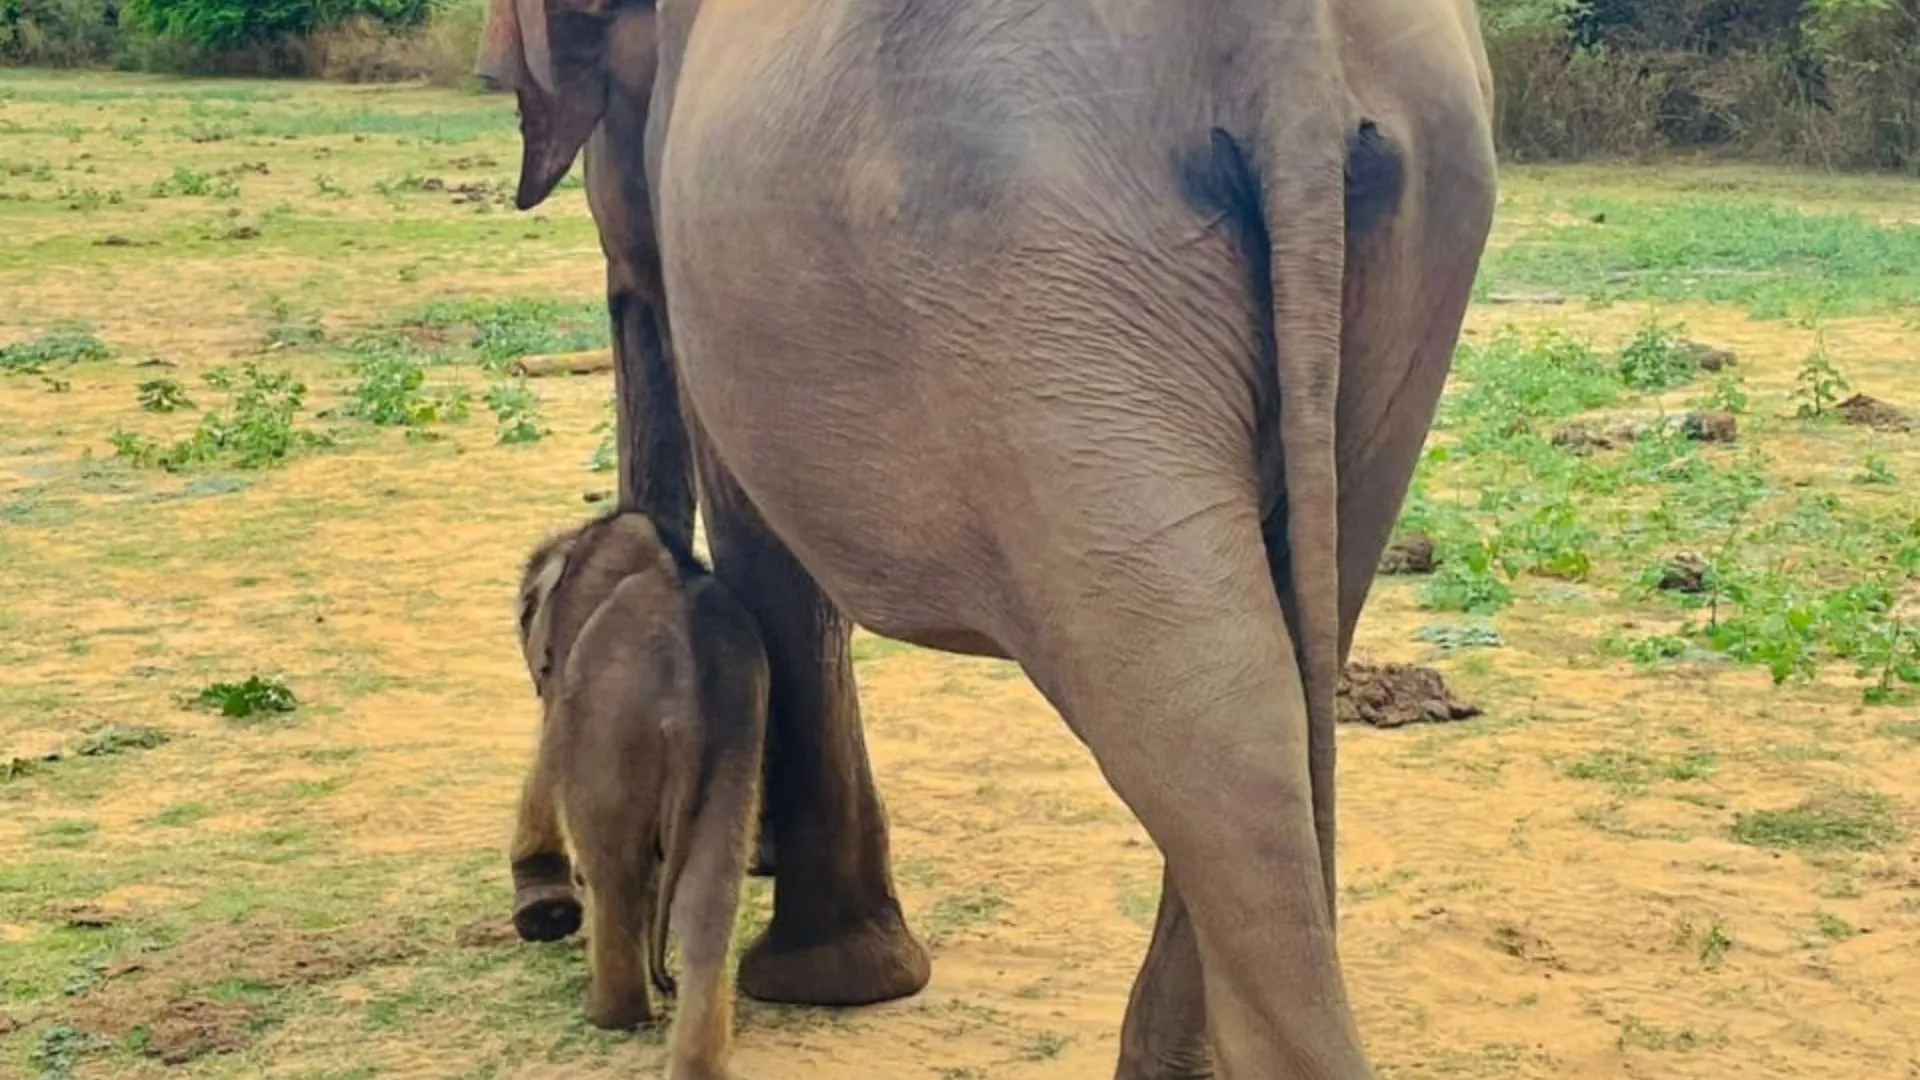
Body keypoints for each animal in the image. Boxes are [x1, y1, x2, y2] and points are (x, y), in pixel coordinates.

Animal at [510, 508, 767, 1080]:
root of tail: (687, 699)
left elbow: (548, 753)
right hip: (735, 738)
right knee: (708, 895)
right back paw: (695, 1060)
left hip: (617, 725)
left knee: (615, 870)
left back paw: (609, 1016)